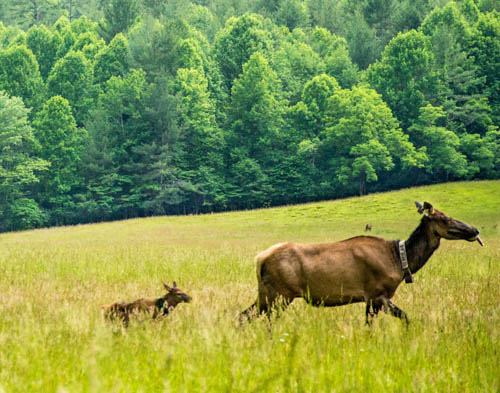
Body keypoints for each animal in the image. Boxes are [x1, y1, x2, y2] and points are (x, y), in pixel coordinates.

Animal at [240, 201, 482, 324]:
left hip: (266, 294)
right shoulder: (377, 293)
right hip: (281, 294)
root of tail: (259, 259)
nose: (475, 230)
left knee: (244, 315)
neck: (400, 261)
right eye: (445, 218)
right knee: (265, 319)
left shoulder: (370, 299)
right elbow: (403, 318)